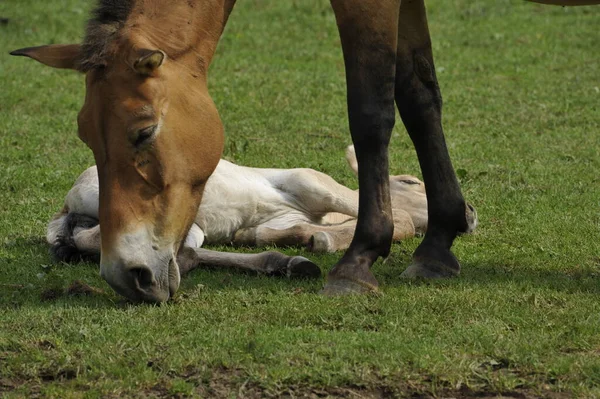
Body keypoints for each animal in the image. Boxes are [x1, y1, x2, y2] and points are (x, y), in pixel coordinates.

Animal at [48, 147, 478, 278]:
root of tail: (67, 203)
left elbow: (259, 233)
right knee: (97, 239)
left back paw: (287, 263)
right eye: (409, 181)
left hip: (188, 227)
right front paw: (324, 239)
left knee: (182, 251)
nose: (471, 211)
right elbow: (389, 216)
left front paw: (309, 239)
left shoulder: (279, 218)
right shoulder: (309, 180)